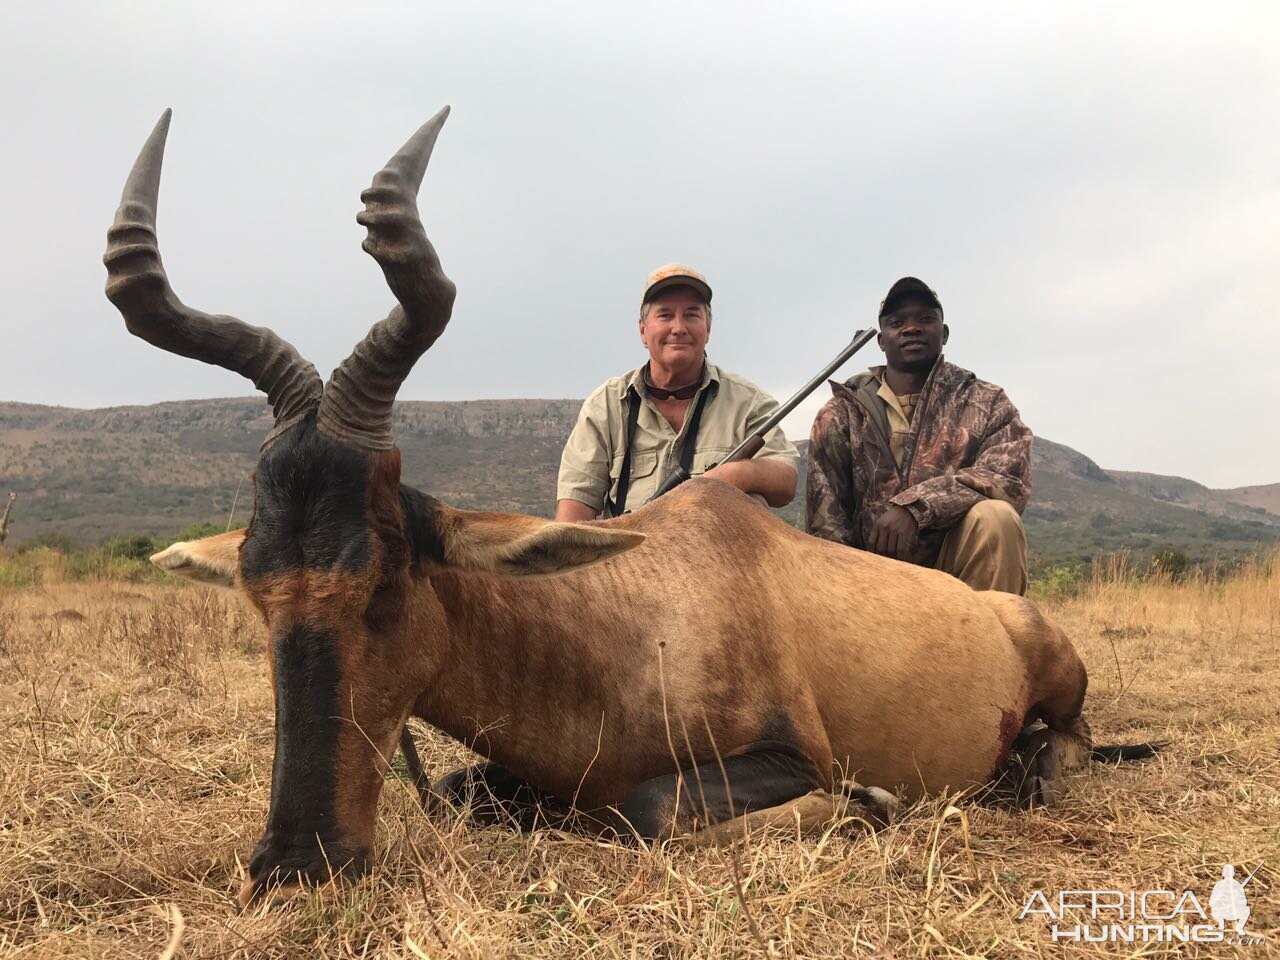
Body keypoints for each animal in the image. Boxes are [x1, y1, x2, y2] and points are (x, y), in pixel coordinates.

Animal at [107, 106, 1162, 911]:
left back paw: (1030, 770)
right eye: (256, 590)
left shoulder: (794, 754)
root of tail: (1003, 611)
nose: (294, 866)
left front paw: (870, 803)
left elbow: (651, 811)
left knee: (1070, 738)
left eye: (386, 579)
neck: (626, 616)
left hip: (1052, 667)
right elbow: (470, 790)